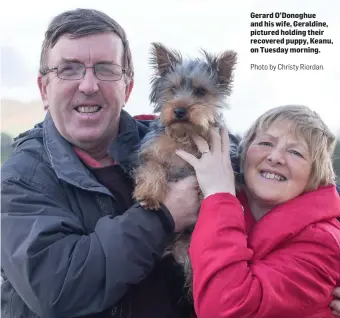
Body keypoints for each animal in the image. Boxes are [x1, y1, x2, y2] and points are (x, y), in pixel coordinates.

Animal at [133, 42, 239, 296]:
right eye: (172, 89)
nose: (179, 110)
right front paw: (149, 195)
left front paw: (203, 198)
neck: (183, 134)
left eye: (200, 92)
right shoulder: (151, 151)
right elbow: (152, 169)